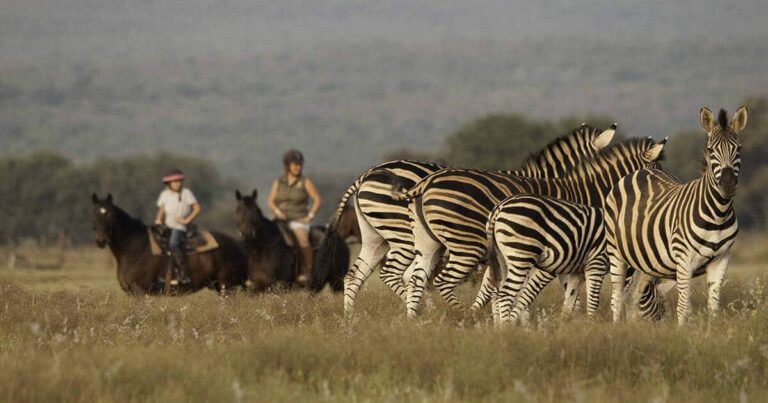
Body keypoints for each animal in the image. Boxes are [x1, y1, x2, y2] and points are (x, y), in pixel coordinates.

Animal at [91, 194, 249, 294]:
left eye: (111, 215)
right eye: (94, 215)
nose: (101, 240)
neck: (135, 249)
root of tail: (238, 245)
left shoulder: (140, 292)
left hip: (227, 286)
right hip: (218, 286)